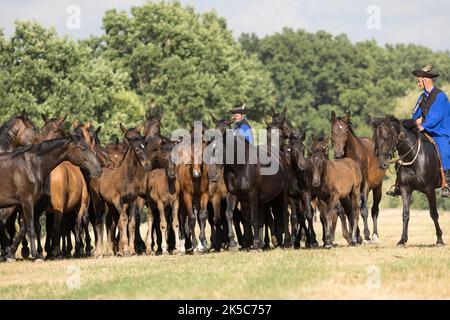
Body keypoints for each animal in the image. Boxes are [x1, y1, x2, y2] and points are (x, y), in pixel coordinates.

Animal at [328, 110, 384, 242]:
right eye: (332, 130)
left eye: (346, 131)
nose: (338, 154)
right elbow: (349, 210)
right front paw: (356, 236)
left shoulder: (364, 186)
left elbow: (363, 210)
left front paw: (366, 235)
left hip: (377, 187)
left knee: (374, 209)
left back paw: (374, 235)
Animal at [370, 116, 444, 246]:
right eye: (375, 139)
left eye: (386, 137)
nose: (382, 164)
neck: (414, 156)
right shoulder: (405, 189)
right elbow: (405, 214)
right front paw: (402, 239)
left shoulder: (430, 190)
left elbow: (433, 213)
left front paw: (439, 239)